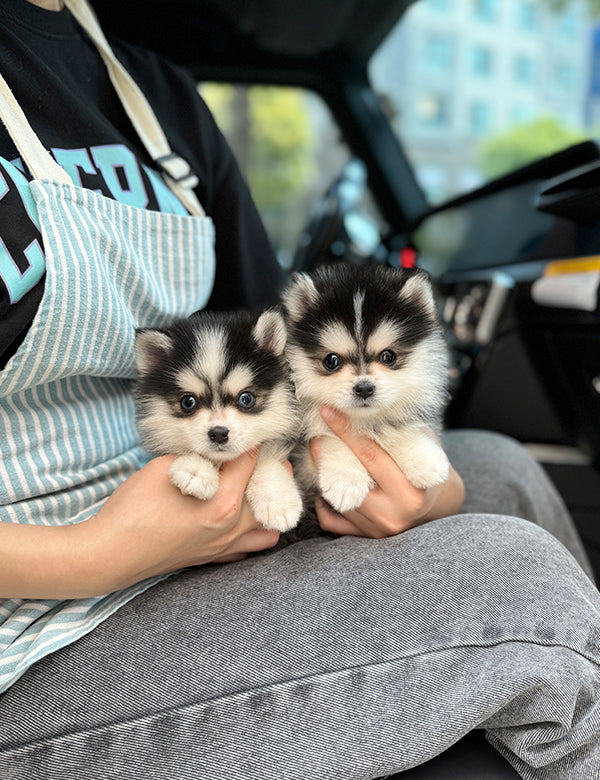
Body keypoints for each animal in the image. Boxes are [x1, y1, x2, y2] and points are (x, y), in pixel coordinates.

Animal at [134, 308, 302, 532]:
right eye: (188, 402)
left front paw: (277, 501)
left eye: (246, 398)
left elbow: (268, 460)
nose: (219, 433)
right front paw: (196, 470)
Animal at [284, 266, 448, 516]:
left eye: (388, 356)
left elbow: (395, 427)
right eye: (331, 361)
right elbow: (327, 436)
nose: (364, 388)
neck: (362, 420)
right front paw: (346, 480)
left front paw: (423, 459)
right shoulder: (303, 460)